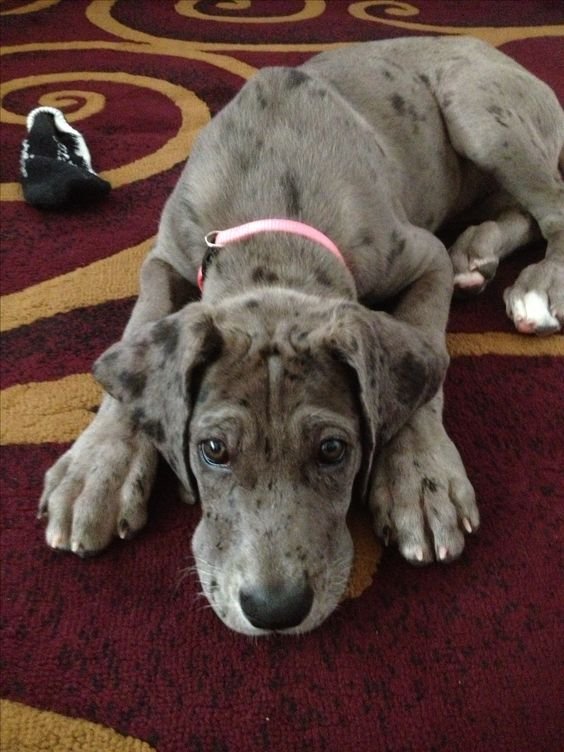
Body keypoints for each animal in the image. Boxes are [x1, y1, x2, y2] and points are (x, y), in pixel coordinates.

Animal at [39, 36, 564, 636]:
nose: (275, 611)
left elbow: (426, 352)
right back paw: (478, 252)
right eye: (213, 450)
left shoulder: (424, 255)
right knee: (520, 212)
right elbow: (137, 333)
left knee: (552, 207)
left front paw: (420, 476)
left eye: (333, 450)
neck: (273, 224)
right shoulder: (163, 261)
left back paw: (539, 284)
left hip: (478, 110)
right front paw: (97, 470)